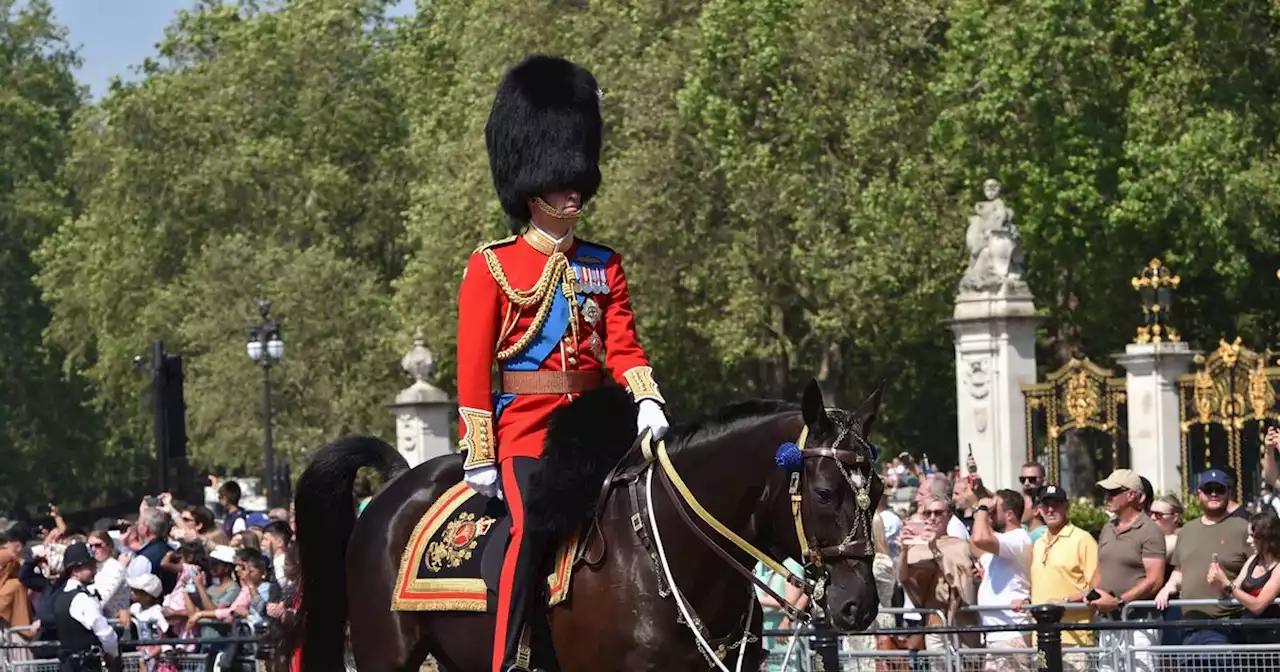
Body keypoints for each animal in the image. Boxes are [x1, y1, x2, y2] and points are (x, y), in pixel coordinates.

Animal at [286, 376, 885, 670]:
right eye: (825, 492)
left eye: (877, 491)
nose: (859, 606)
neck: (666, 556)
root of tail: (394, 485)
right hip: (386, 654)